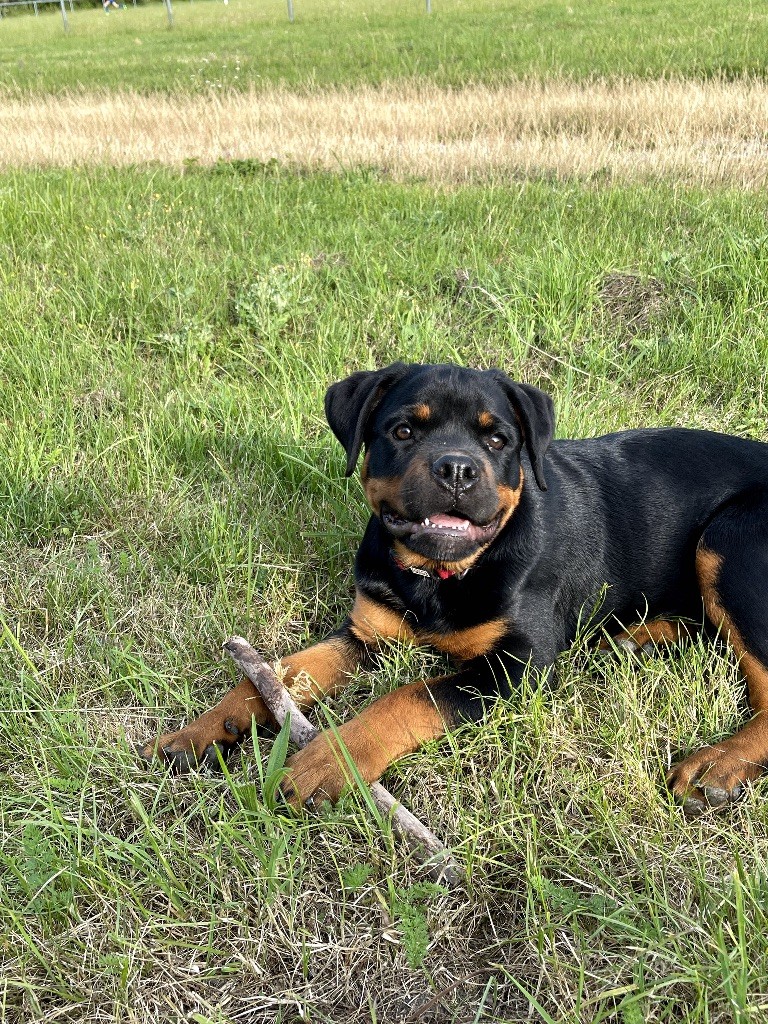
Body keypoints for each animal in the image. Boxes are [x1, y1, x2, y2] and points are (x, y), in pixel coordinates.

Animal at [141, 360, 768, 815]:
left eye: (498, 440)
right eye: (403, 430)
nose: (457, 469)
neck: (439, 576)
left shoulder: (516, 666)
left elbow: (407, 697)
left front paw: (327, 762)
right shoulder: (364, 632)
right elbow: (279, 672)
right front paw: (199, 731)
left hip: (728, 538)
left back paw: (718, 764)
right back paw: (636, 638)